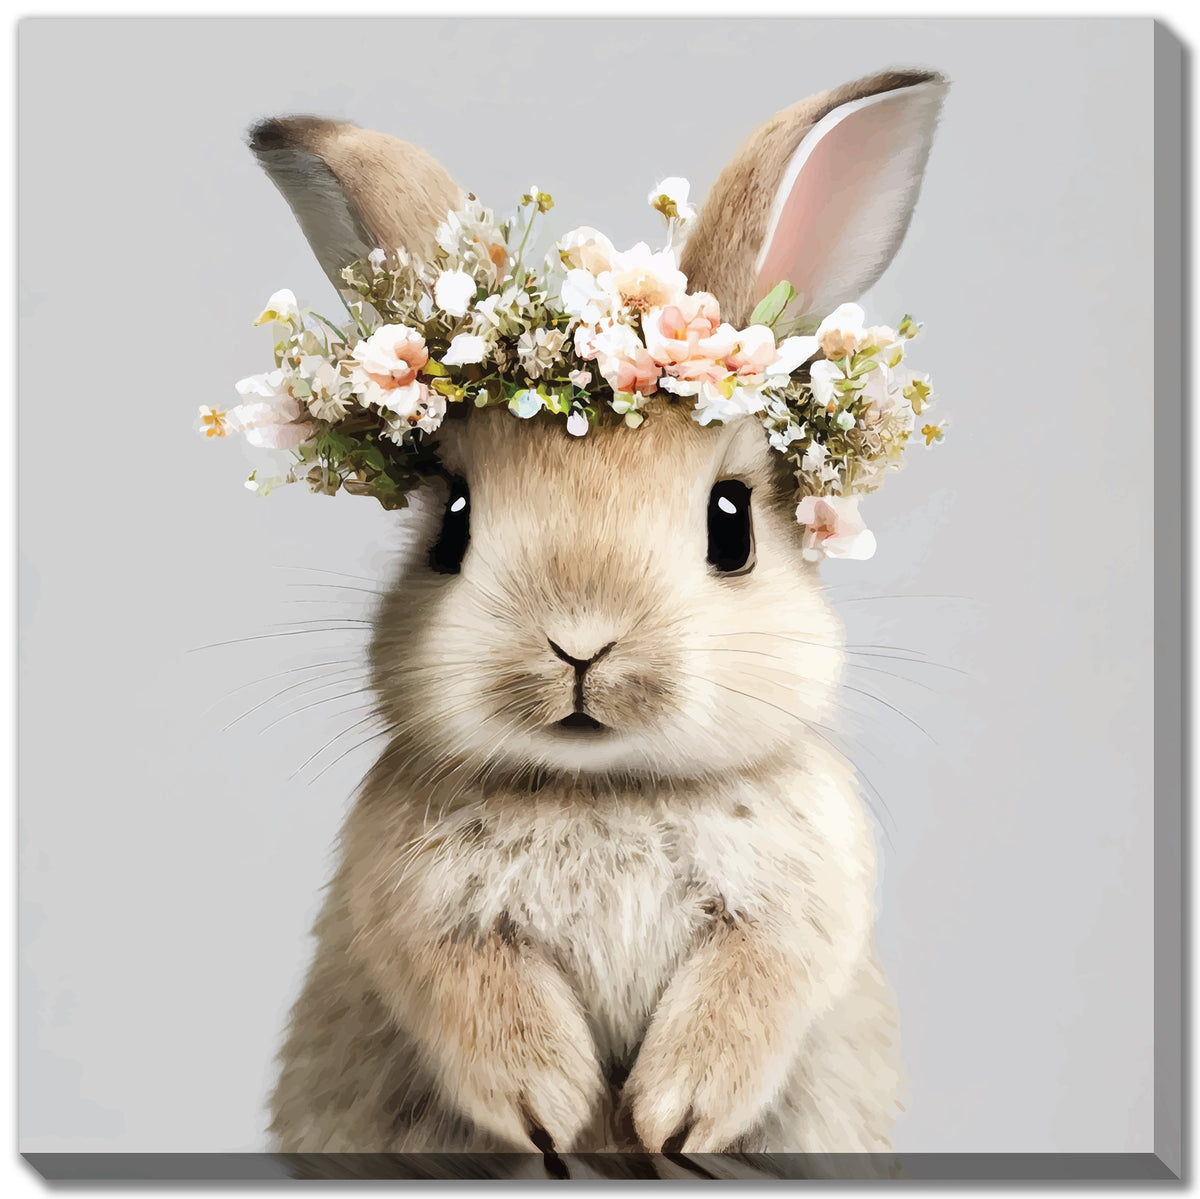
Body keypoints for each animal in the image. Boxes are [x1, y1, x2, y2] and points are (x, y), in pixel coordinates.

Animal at [253, 68, 947, 1172]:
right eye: (453, 523)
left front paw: (675, 1118)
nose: (580, 640)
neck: (604, 787)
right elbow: (481, 1004)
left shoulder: (794, 911)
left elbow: (750, 990)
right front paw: (555, 1115)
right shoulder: (424, 920)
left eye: (731, 524)